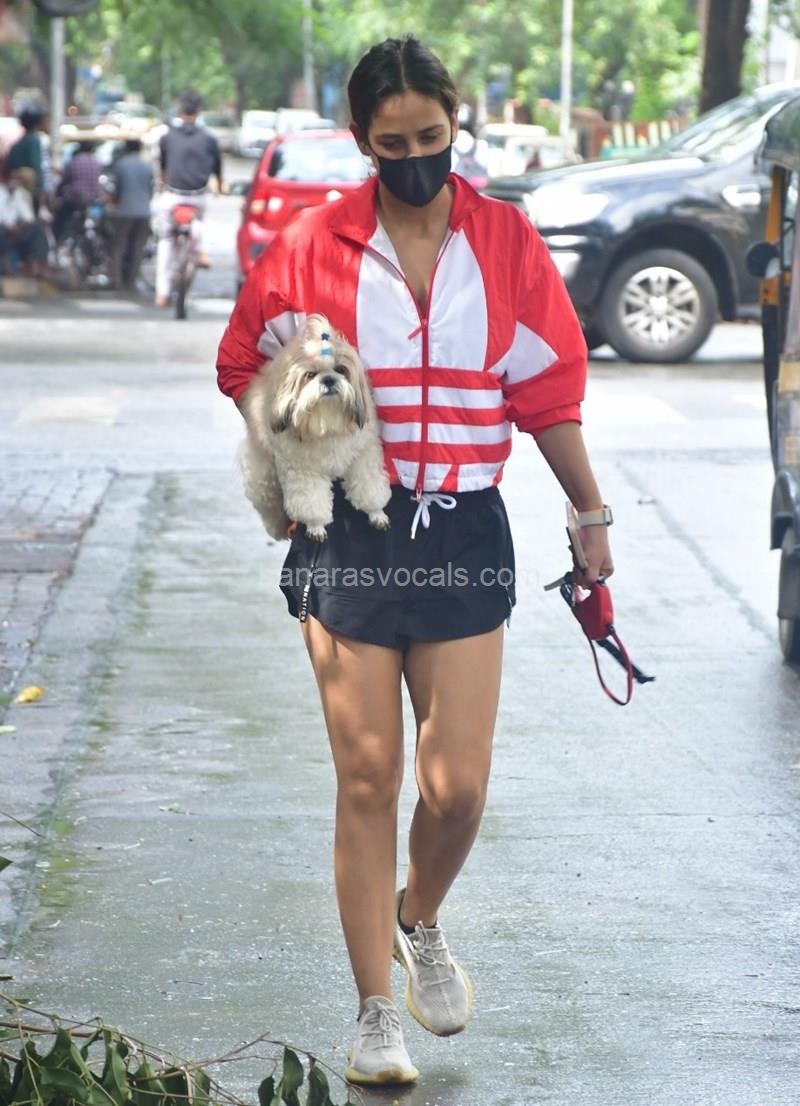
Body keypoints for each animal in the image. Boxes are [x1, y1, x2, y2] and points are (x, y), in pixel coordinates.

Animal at [238, 314, 392, 541]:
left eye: (340, 370)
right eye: (310, 375)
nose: (328, 379)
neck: (327, 422)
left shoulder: (363, 455)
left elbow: (369, 486)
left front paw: (376, 513)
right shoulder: (304, 470)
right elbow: (311, 502)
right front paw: (316, 526)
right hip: (264, 480)